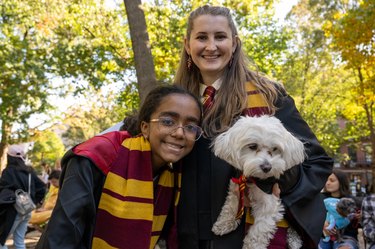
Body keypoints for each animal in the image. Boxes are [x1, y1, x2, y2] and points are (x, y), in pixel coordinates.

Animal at [212, 115, 306, 249]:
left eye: (275, 149)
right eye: (252, 146)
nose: (267, 167)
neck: (253, 178)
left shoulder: (269, 203)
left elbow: (258, 231)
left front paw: (251, 245)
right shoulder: (236, 187)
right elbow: (231, 206)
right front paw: (224, 223)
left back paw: (295, 240)